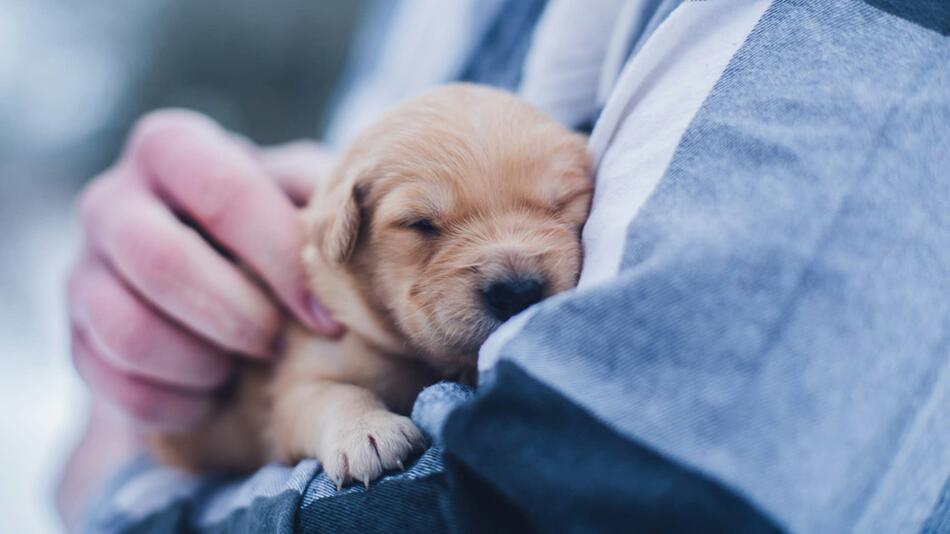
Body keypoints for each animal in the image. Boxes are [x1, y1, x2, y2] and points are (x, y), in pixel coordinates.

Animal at [152, 84, 592, 490]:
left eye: (562, 203)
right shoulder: (298, 380)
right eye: (420, 224)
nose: (517, 292)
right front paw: (367, 432)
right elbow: (333, 394)